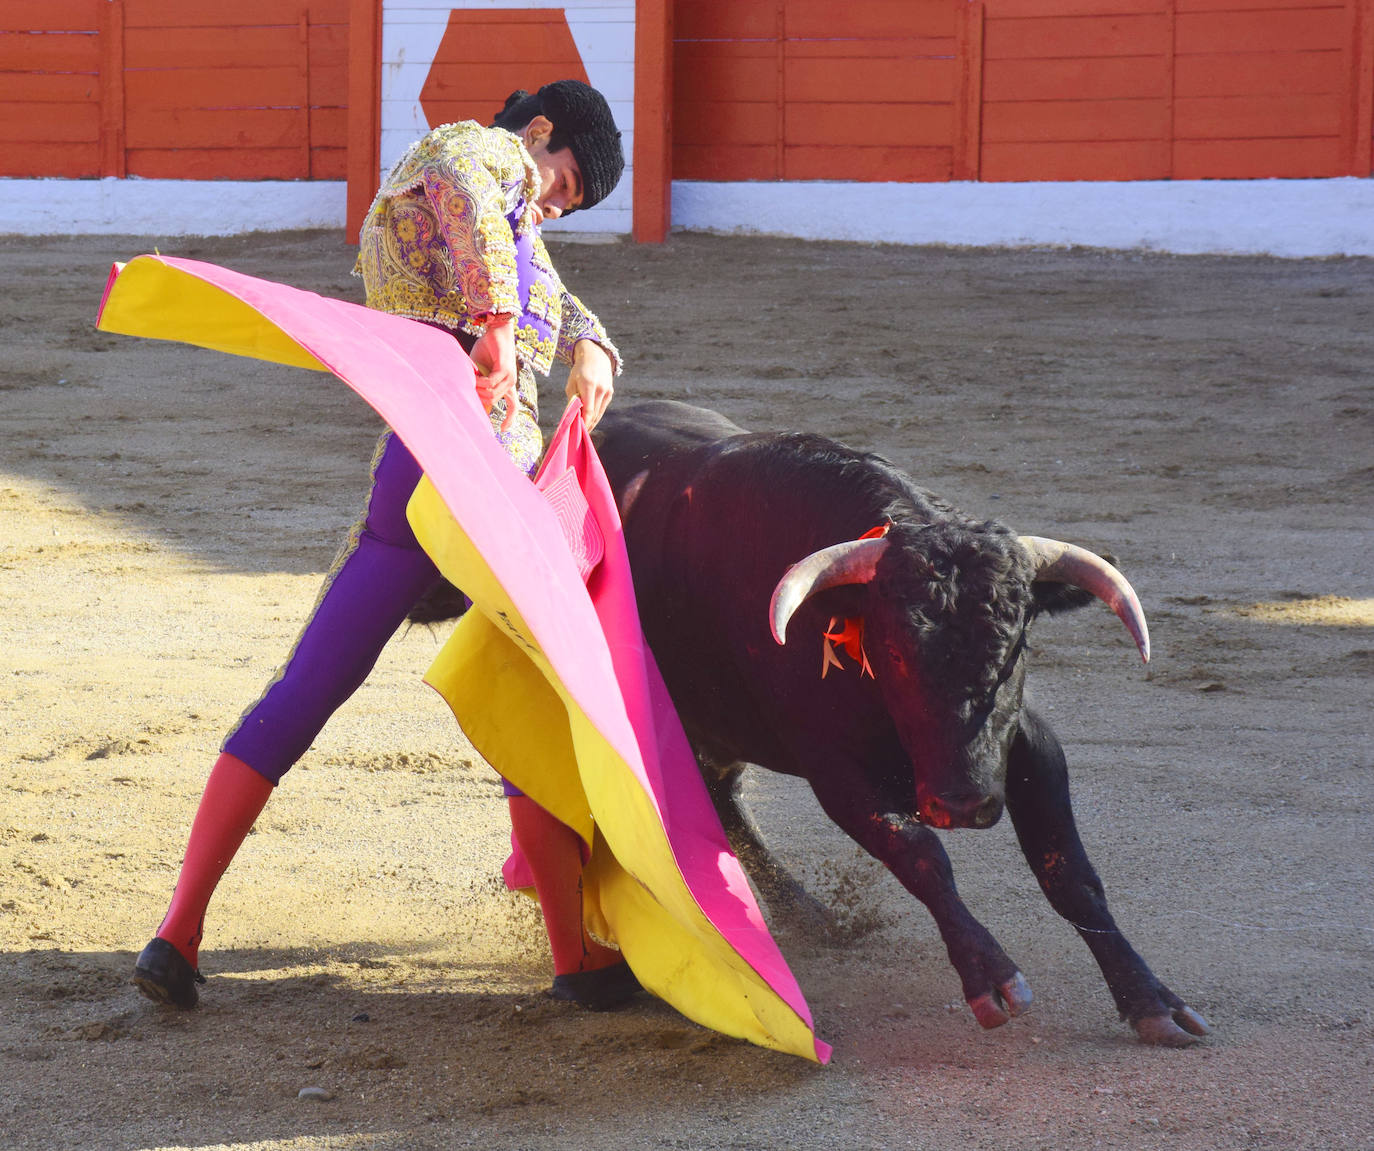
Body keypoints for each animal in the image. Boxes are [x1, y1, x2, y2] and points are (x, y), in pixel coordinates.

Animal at [596, 401, 1209, 1049]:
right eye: (893, 650)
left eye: (1016, 645)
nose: (962, 804)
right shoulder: (834, 769)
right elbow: (920, 854)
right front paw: (992, 979)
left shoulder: (1029, 745)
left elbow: (1069, 872)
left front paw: (1153, 1001)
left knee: (720, 794)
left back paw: (810, 917)